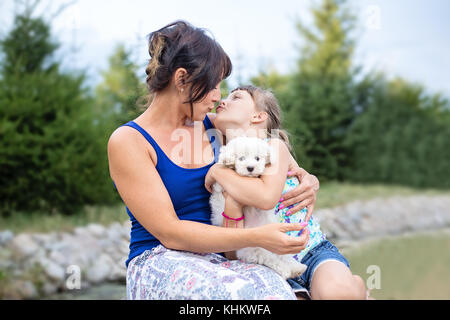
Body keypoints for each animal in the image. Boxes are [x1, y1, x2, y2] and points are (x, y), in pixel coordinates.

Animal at [210, 136, 308, 278]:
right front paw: (228, 161)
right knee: (270, 258)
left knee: (282, 256)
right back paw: (287, 270)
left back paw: (297, 268)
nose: (250, 168)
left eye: (257, 158)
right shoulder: (221, 186)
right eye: (241, 158)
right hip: (255, 246)